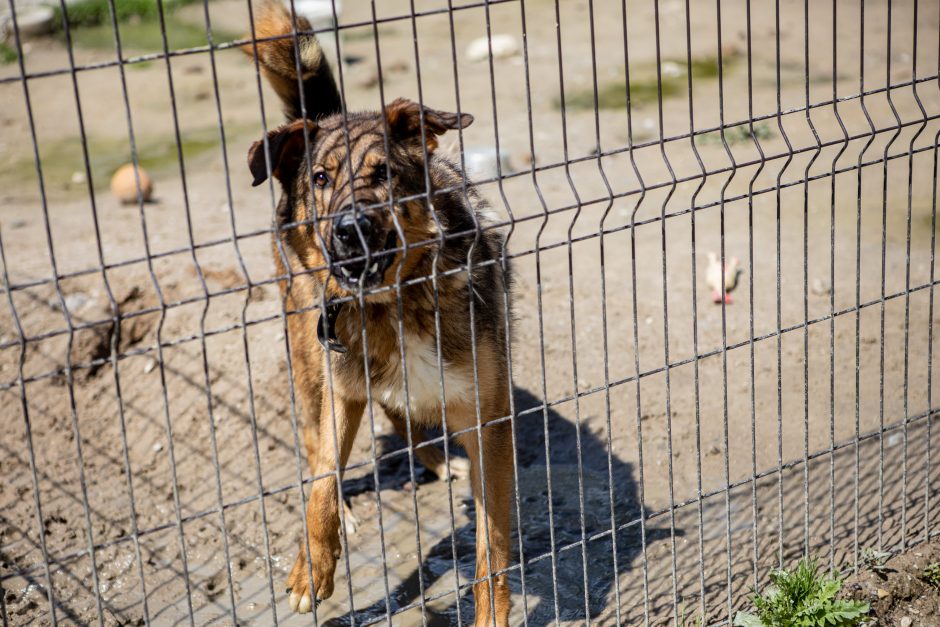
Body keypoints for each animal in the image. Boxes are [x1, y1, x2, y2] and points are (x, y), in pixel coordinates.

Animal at [239, 3, 510, 624]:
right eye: (320, 179)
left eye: (383, 173)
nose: (349, 229)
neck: (395, 305)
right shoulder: (340, 385)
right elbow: (320, 480)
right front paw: (312, 567)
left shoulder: (489, 420)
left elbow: (493, 543)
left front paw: (492, 612)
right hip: (305, 344)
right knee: (316, 442)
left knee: (396, 412)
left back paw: (433, 458)